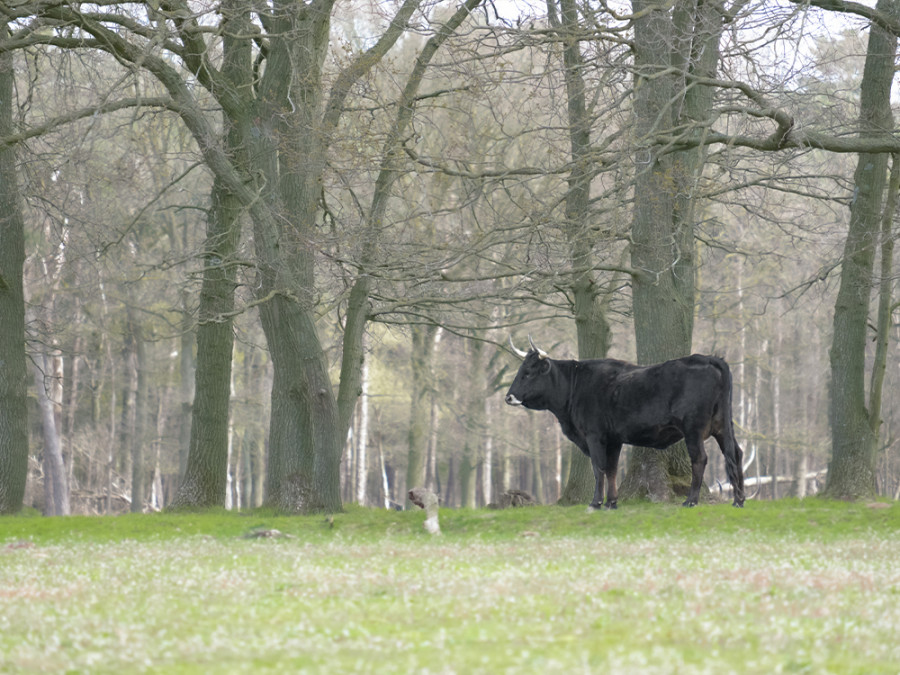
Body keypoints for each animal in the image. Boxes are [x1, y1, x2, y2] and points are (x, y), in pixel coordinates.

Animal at [506, 344, 744, 508]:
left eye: (528, 372)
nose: (509, 397)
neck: (575, 386)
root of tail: (709, 358)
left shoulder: (594, 436)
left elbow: (598, 467)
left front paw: (595, 502)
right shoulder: (613, 439)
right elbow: (611, 469)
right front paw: (611, 502)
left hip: (693, 429)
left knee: (700, 459)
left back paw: (691, 500)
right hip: (723, 426)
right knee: (735, 453)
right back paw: (739, 499)